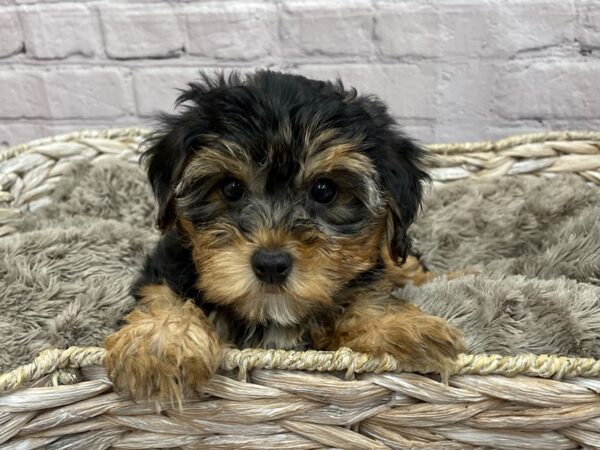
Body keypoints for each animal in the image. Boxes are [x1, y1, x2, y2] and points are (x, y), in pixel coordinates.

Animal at [105, 69, 466, 400]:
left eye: (324, 190)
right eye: (231, 188)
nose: (271, 264)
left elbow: (362, 298)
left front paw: (403, 327)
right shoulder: (169, 264)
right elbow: (162, 295)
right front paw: (160, 343)